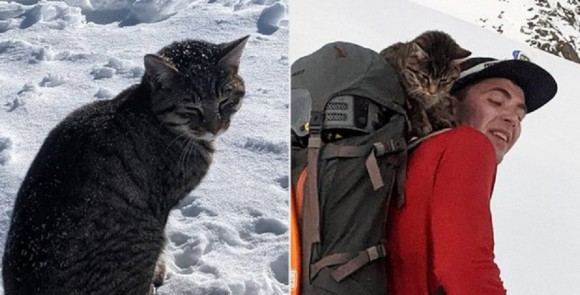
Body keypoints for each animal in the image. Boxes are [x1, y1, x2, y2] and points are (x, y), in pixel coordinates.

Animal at [1, 35, 249, 295]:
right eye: (192, 108)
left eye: (224, 100)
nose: (215, 127)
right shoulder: (162, 206)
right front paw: (156, 275)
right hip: (146, 235)